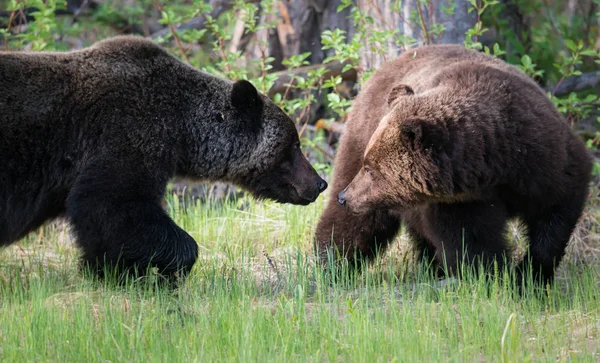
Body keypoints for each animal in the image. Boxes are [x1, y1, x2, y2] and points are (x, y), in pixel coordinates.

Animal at [316, 43, 592, 288]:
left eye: (371, 169)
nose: (346, 197)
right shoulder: (459, 201)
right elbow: (471, 239)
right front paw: (492, 277)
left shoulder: (543, 161)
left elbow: (556, 212)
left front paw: (529, 277)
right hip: (359, 137)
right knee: (354, 223)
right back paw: (330, 265)